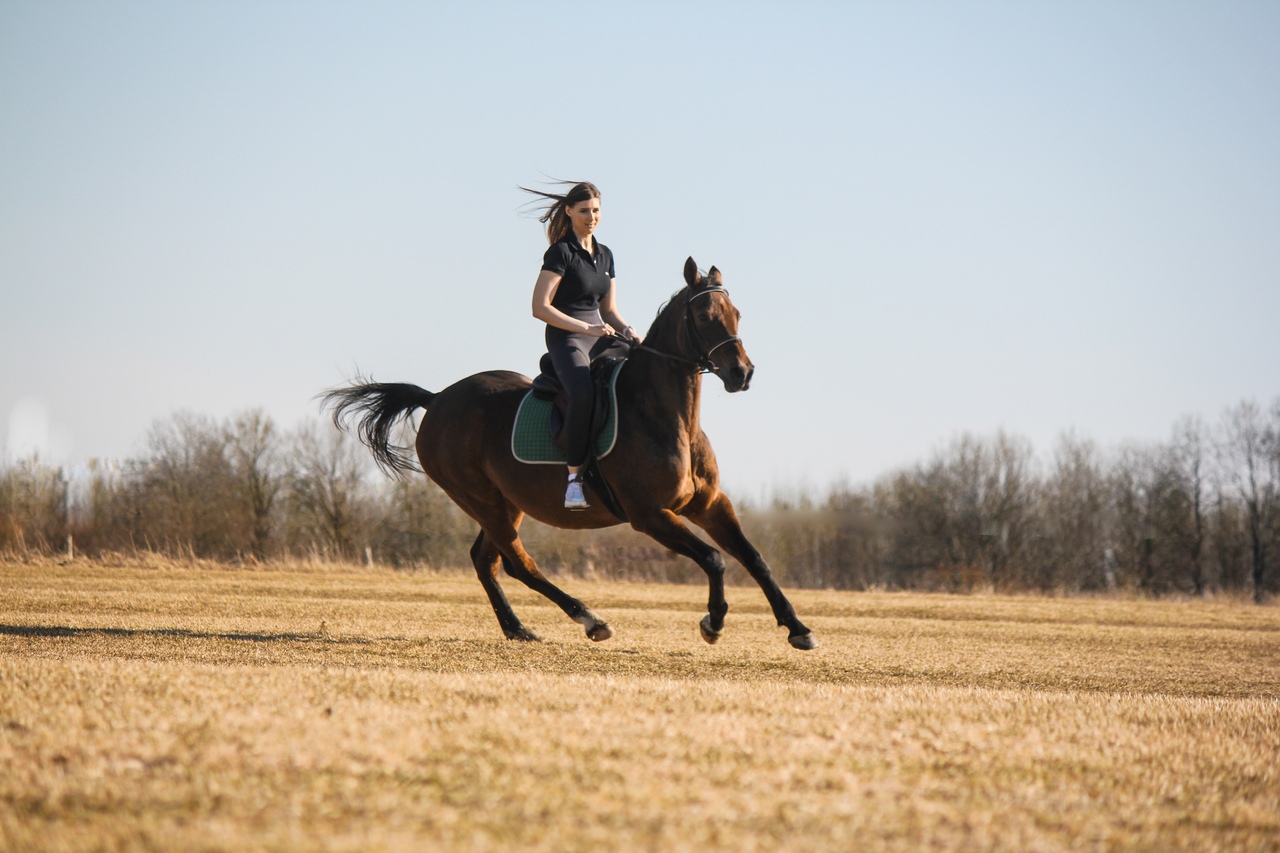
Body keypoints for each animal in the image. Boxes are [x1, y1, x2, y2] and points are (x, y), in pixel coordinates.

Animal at [325, 256, 814, 648]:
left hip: (506, 502)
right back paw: (590, 620)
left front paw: (798, 628)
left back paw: (517, 628)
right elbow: (714, 559)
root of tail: (438, 398)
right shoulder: (650, 514)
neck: (666, 414)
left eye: (736, 313)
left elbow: (754, 558)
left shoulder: (710, 503)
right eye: (705, 314)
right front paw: (713, 623)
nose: (742, 373)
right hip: (481, 499)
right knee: (518, 564)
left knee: (487, 561)